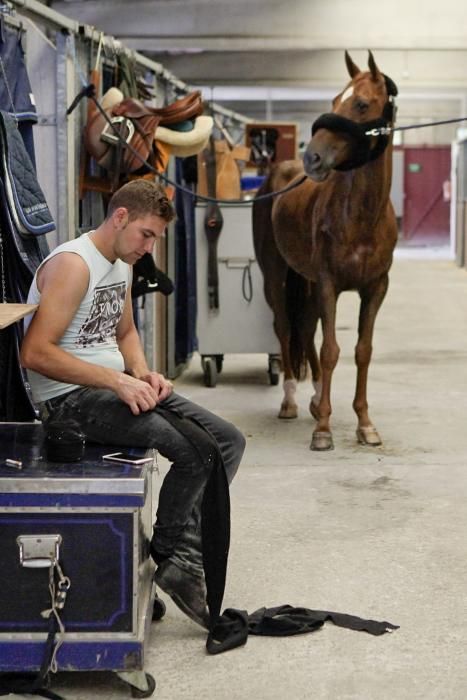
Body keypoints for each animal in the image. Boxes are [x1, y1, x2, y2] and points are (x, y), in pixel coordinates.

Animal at [256, 52, 398, 452]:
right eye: (335, 101)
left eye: (362, 104)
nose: (313, 160)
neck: (362, 216)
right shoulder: (328, 284)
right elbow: (332, 349)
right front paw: (323, 430)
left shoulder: (375, 288)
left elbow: (362, 350)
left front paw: (365, 425)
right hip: (276, 277)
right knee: (286, 329)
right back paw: (290, 401)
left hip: (305, 283)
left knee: (306, 329)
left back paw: (318, 397)